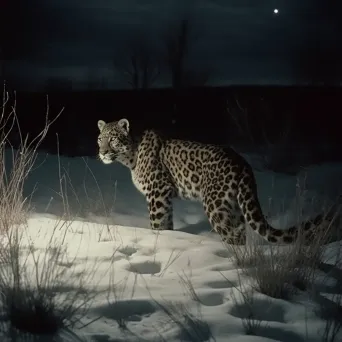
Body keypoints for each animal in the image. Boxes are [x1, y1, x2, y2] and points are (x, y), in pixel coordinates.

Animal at [96, 119, 336, 244]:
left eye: (113, 139)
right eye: (100, 138)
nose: (102, 152)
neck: (130, 156)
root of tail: (242, 162)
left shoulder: (158, 192)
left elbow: (157, 224)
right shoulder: (165, 198)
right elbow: (168, 224)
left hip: (215, 205)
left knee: (231, 234)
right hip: (235, 205)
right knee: (240, 232)